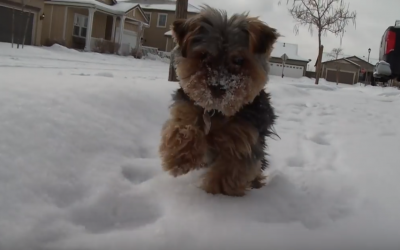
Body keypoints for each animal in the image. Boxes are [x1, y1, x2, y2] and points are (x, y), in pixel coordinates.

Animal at [159, 4, 278, 196]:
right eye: (203, 56)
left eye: (239, 60)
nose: (217, 86)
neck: (217, 111)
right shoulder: (187, 108)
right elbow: (183, 127)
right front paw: (179, 158)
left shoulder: (244, 137)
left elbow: (232, 168)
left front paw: (218, 194)